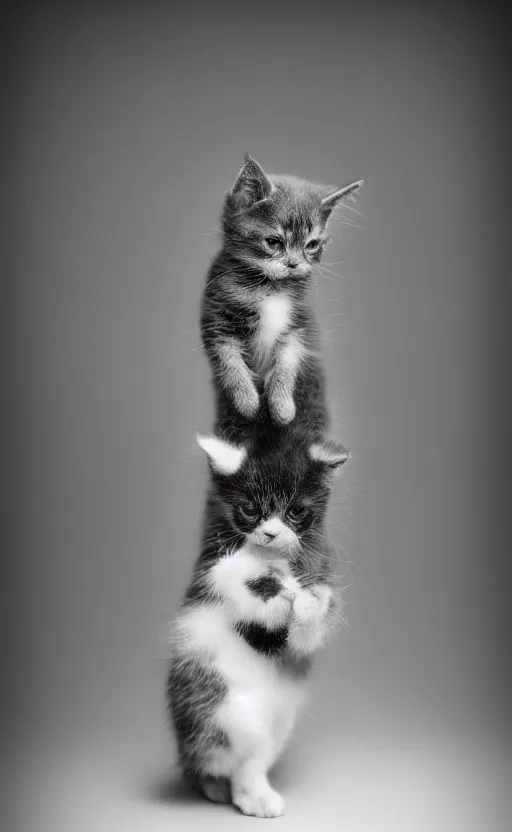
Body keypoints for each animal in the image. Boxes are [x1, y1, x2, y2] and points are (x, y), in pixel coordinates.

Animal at [168, 428, 348, 820]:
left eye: (296, 511)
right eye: (250, 509)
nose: (270, 533)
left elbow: (306, 630)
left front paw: (308, 602)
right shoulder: (214, 567)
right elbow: (234, 571)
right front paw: (276, 593)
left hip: (277, 721)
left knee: (251, 761)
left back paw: (253, 794)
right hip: (218, 709)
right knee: (222, 759)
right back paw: (218, 786)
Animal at [199, 154, 360, 442]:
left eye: (312, 245)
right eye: (273, 242)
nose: (294, 263)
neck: (269, 288)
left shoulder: (299, 324)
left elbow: (287, 364)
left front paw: (283, 407)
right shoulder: (217, 317)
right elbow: (229, 361)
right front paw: (247, 401)